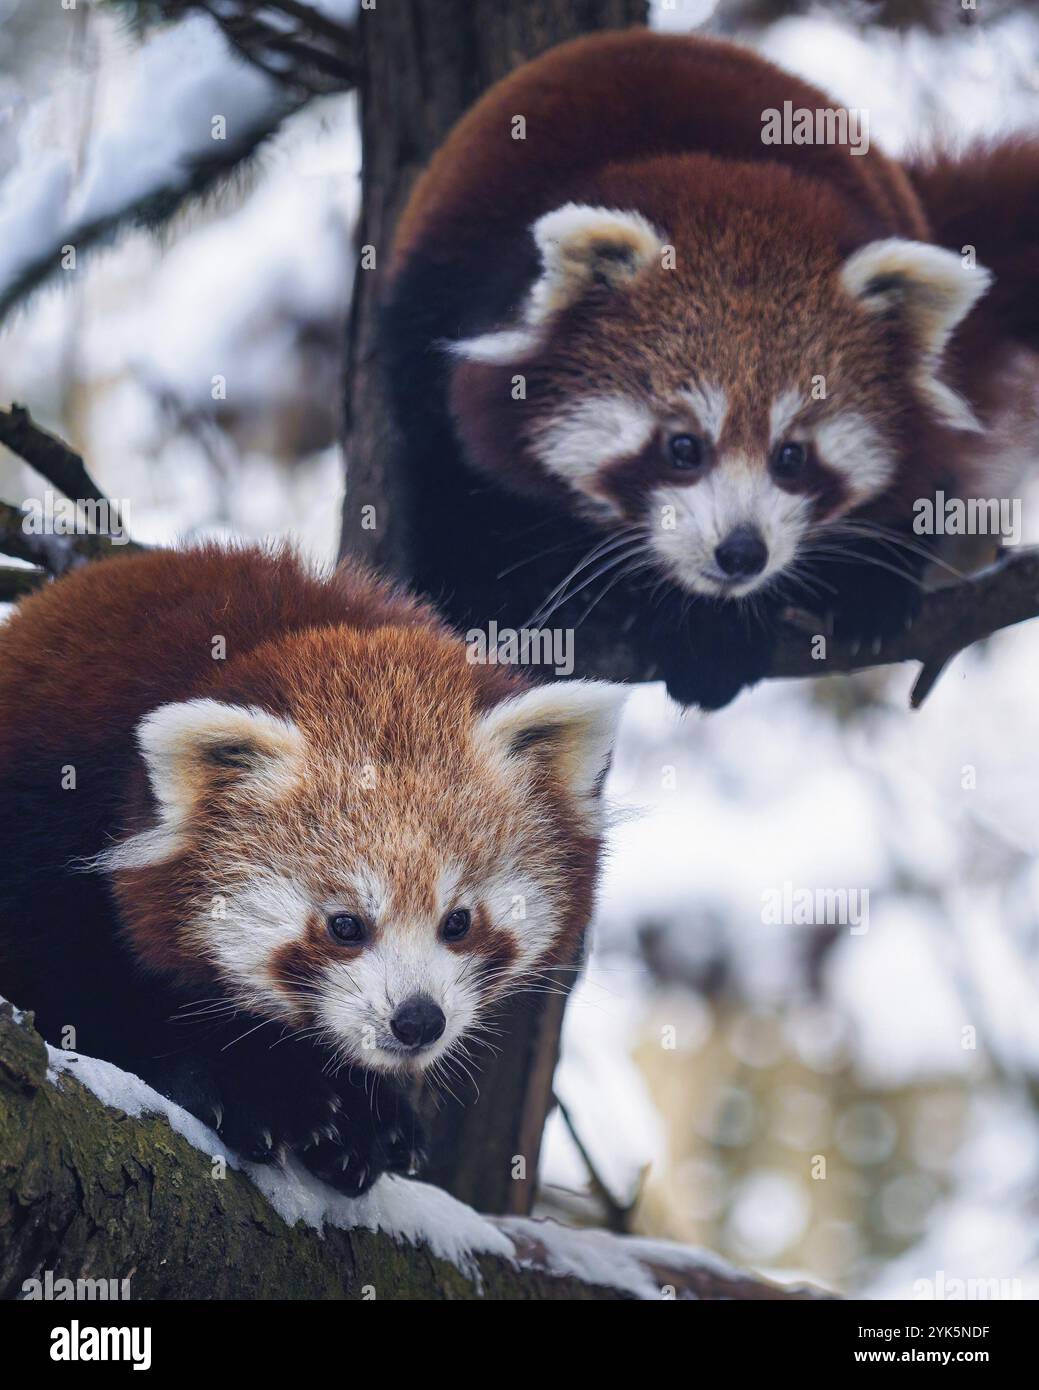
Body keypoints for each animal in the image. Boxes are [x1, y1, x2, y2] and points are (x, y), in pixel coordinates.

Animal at [0, 542, 625, 1195]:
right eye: (345, 925)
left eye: (458, 922)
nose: (418, 1020)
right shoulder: (46, 820)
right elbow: (75, 986)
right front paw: (237, 1085)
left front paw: (368, 1118)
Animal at [381, 29, 1039, 706]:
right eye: (683, 447)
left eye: (792, 456)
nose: (742, 552)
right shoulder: (440, 317)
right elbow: (456, 481)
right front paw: (492, 603)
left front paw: (716, 635)